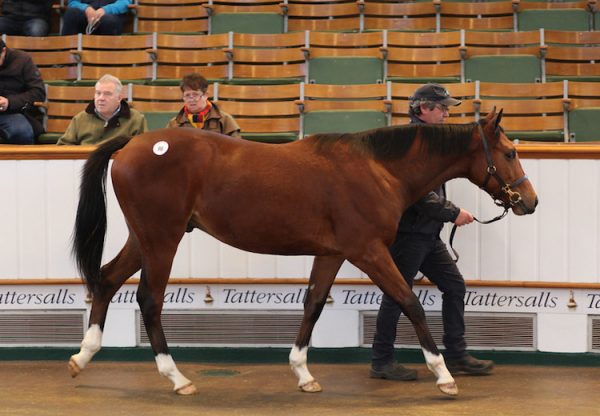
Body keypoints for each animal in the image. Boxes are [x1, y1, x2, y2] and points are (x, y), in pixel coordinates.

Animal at [68, 109, 536, 396]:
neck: (377, 169)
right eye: (510, 152)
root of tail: (131, 145)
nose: (529, 201)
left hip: (144, 238)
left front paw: (303, 373)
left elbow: (312, 304)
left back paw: (82, 356)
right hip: (161, 239)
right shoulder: (368, 251)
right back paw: (176, 378)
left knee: (107, 279)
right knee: (148, 299)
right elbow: (409, 302)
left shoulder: (332, 253)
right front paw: (443, 375)